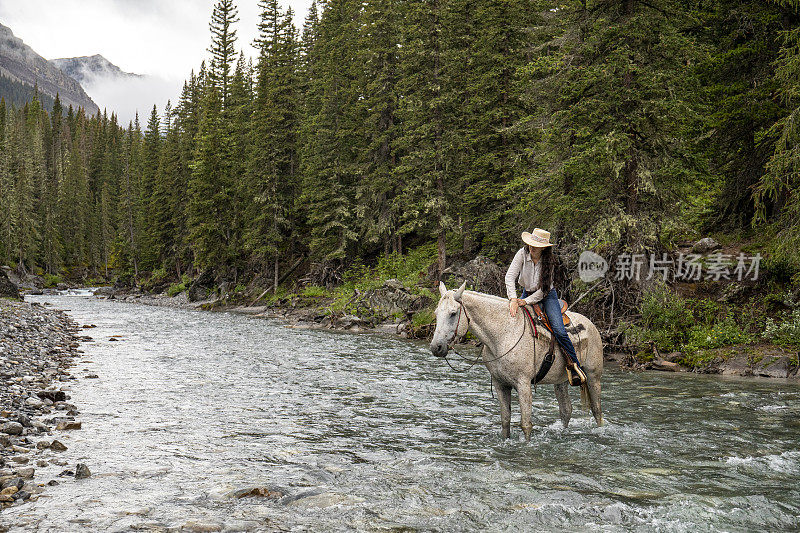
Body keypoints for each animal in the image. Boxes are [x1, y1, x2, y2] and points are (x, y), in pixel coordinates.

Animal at [428, 280, 604, 438]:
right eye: (436, 313)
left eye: (453, 313)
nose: (436, 347)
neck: (503, 334)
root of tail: (591, 324)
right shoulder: (500, 385)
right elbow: (505, 421)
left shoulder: (523, 384)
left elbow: (526, 424)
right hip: (561, 382)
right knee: (566, 410)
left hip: (593, 376)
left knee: (597, 410)